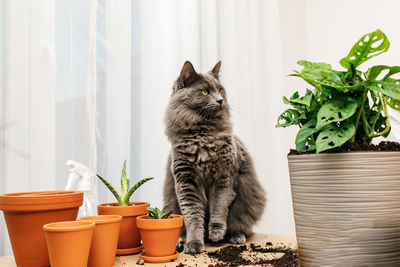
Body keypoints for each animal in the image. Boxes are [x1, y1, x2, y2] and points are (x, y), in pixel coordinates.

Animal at [162, 61, 266, 255]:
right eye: (205, 92)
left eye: (220, 90)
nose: (220, 100)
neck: (203, 135)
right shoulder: (186, 182)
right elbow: (192, 216)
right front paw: (194, 243)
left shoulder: (224, 177)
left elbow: (219, 207)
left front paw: (216, 233)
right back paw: (182, 240)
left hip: (247, 201)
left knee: (239, 224)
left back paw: (235, 237)